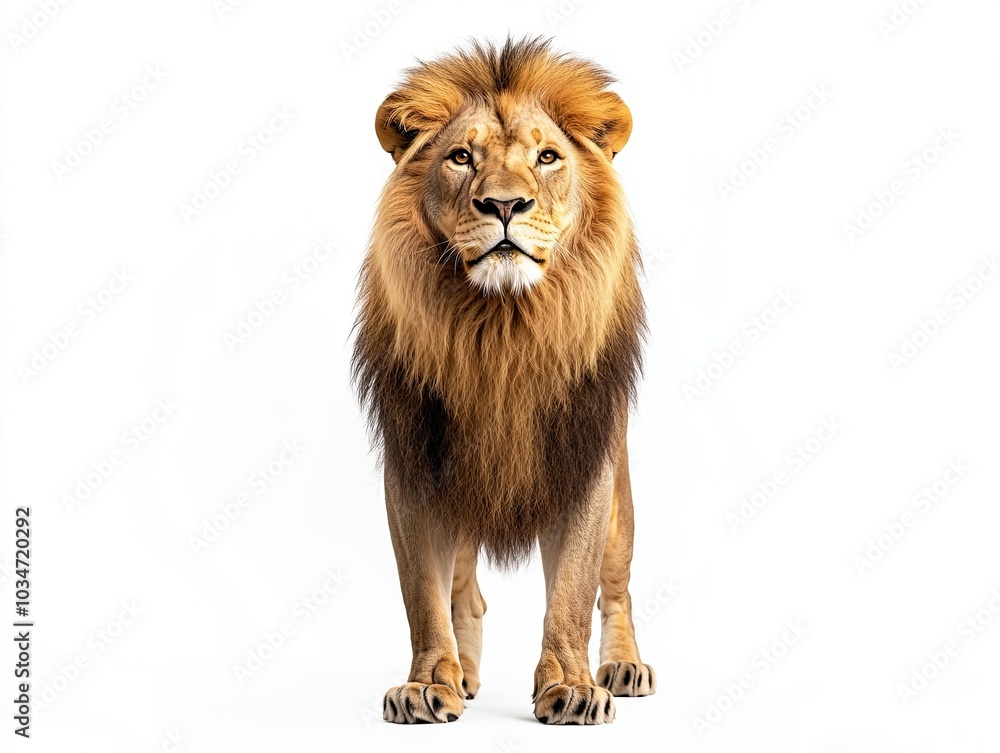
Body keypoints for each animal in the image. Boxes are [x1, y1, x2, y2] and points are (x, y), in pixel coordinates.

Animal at [352, 37, 654, 725]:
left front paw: (570, 687)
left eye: (547, 157)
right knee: (466, 591)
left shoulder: (583, 462)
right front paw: (426, 684)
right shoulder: (415, 464)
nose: (505, 205)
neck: (501, 329)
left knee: (616, 585)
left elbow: (571, 591)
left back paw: (623, 666)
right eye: (462, 158)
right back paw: (461, 673)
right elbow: (423, 594)